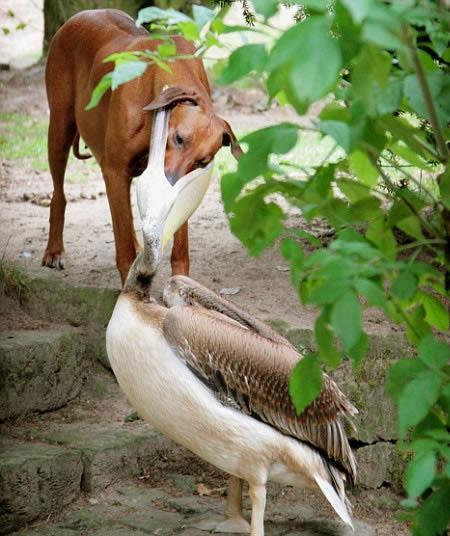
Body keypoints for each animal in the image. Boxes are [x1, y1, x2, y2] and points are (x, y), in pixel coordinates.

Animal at [43, 8, 239, 284]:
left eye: (202, 162)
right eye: (178, 138)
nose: (169, 182)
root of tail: (80, 14)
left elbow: (180, 245)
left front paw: (180, 283)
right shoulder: (114, 171)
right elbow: (123, 246)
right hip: (60, 129)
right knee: (58, 194)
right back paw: (54, 250)